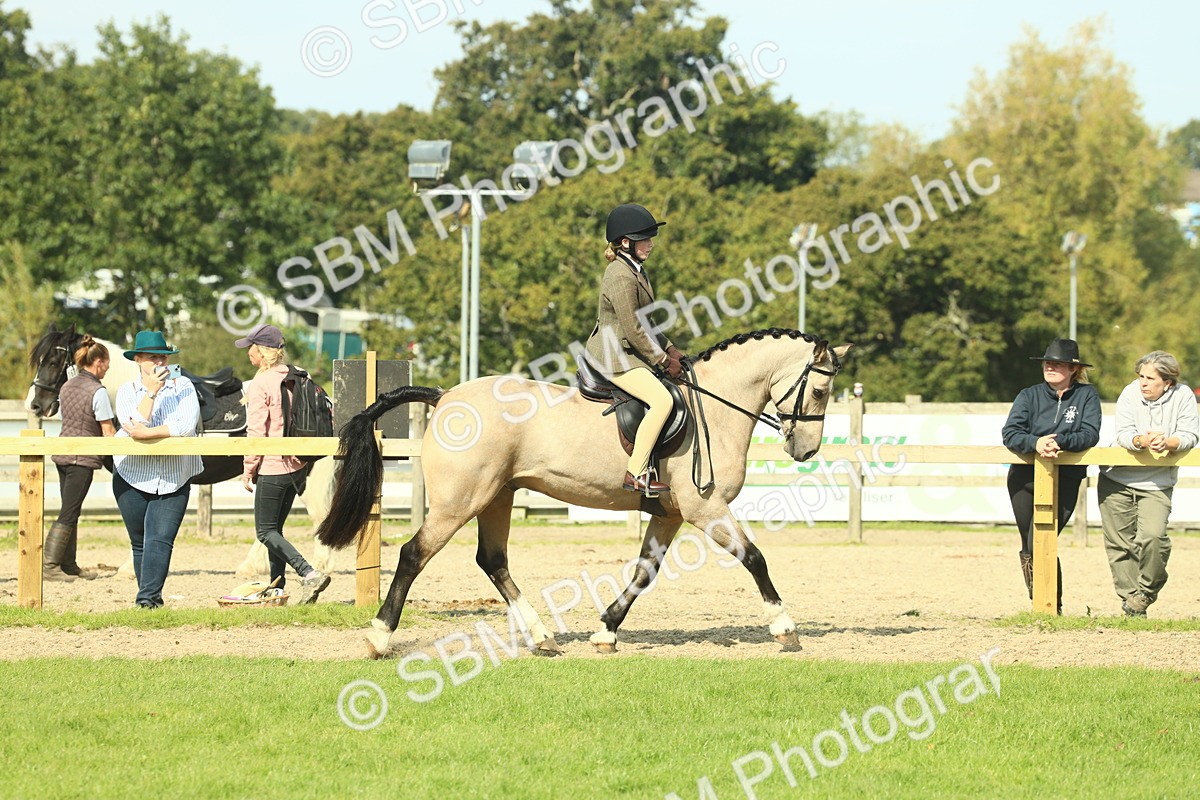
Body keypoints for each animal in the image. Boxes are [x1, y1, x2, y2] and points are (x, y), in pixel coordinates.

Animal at [316, 327, 851, 658]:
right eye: (820, 392)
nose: (805, 449)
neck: (714, 408)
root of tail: (445, 397)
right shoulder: (706, 508)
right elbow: (754, 558)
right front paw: (785, 628)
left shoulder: (671, 513)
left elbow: (644, 573)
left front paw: (605, 631)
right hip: (459, 502)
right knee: (414, 554)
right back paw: (379, 639)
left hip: (497, 497)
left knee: (493, 561)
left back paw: (542, 638)